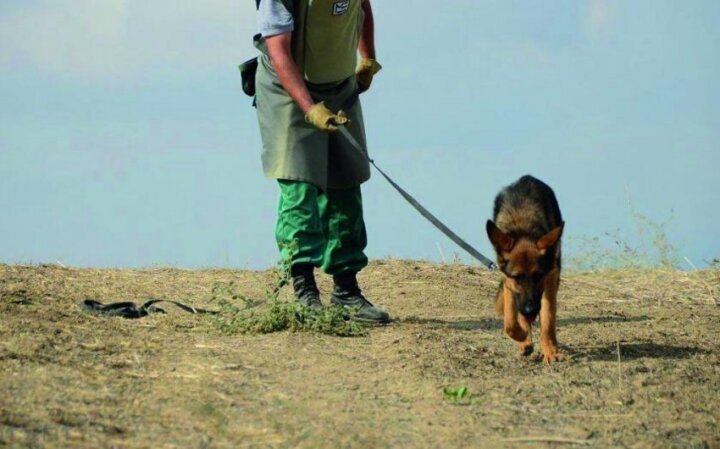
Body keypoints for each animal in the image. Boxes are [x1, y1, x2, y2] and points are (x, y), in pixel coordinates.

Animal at [486, 173, 564, 362]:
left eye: (538, 276)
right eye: (517, 277)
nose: (530, 310)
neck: (523, 228)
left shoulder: (550, 275)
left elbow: (548, 316)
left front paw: (550, 350)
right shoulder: (509, 282)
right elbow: (509, 321)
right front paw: (522, 337)